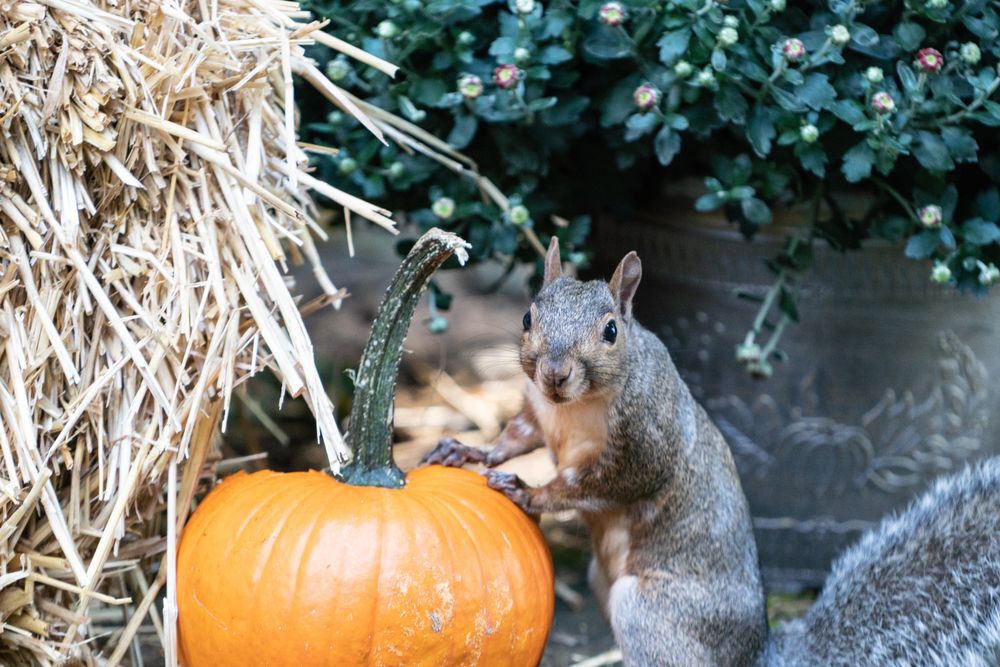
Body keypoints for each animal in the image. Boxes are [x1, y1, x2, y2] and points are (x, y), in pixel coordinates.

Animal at [424, 237, 1000, 666]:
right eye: (527, 318)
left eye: (611, 330)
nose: (555, 374)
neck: (572, 408)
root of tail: (758, 657)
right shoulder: (537, 413)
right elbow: (517, 435)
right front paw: (471, 452)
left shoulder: (645, 446)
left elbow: (594, 485)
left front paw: (530, 490)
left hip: (648, 611)